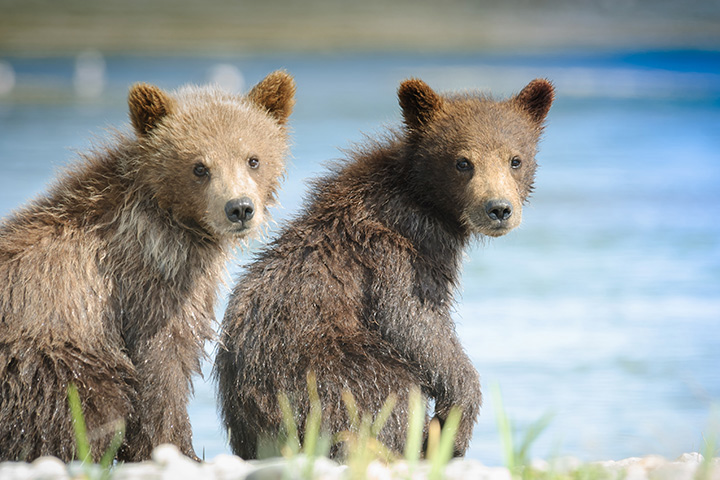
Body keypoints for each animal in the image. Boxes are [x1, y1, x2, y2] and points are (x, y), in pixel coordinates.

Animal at [0, 70, 296, 462]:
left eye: (253, 159)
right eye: (199, 167)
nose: (240, 208)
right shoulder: (143, 287)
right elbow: (161, 367)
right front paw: (181, 450)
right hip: (42, 358)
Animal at [214, 77, 554, 459]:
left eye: (515, 159)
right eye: (463, 162)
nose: (498, 208)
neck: (426, 203)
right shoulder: (394, 256)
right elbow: (415, 323)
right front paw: (456, 418)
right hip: (321, 371)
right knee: (390, 393)